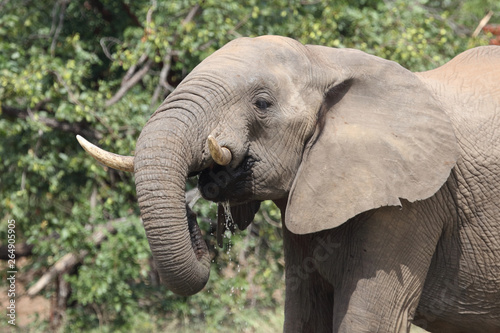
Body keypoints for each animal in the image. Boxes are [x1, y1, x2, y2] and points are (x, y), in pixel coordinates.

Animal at [75, 35, 500, 330]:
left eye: (262, 103)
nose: (196, 223)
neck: (325, 60)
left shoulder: (413, 203)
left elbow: (367, 321)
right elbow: (303, 316)